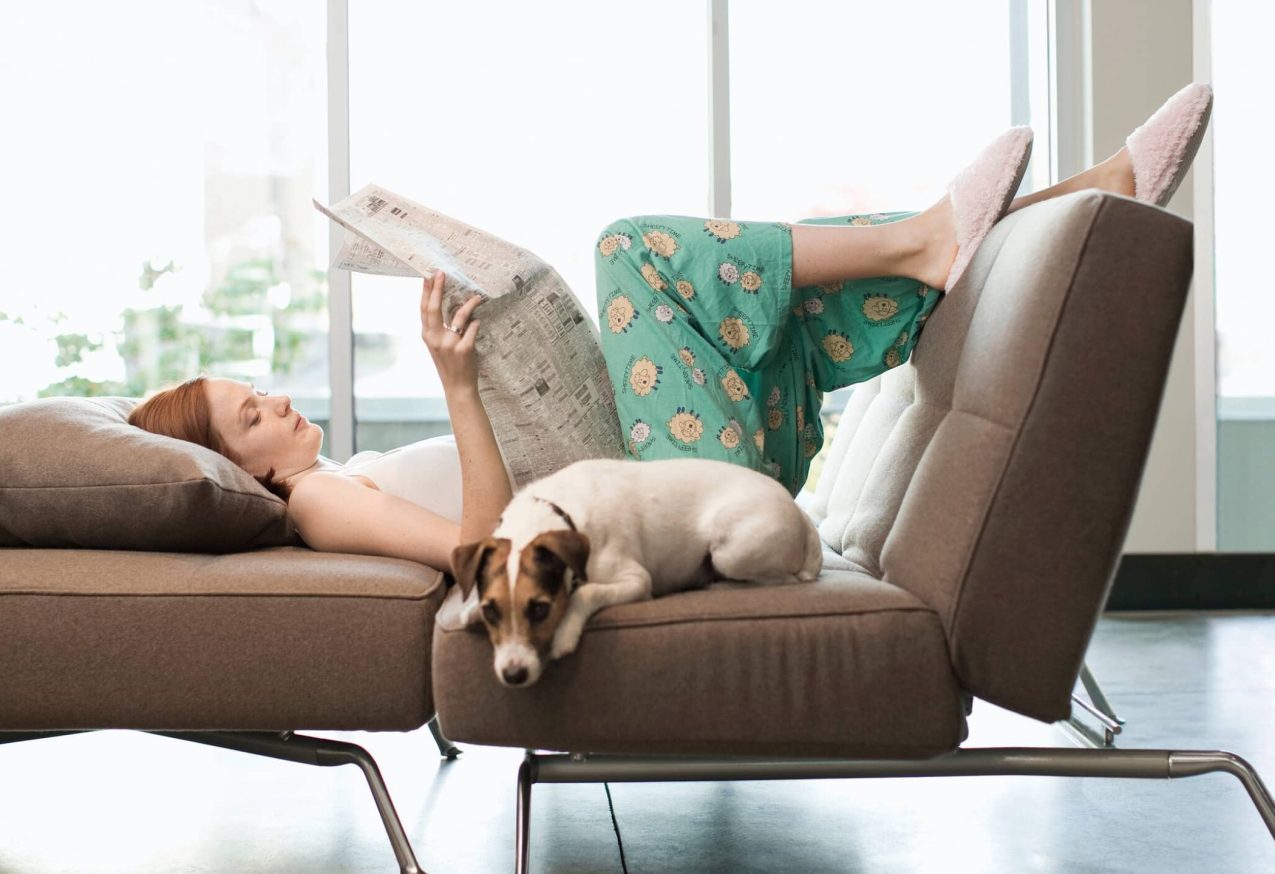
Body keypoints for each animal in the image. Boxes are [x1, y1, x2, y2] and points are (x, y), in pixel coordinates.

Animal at [453, 454, 821, 683]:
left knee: (785, 580)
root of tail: (802, 517)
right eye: (491, 611)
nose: (513, 676)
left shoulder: (636, 580)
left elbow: (586, 591)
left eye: (541, 609)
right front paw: (469, 611)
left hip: (730, 550)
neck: (559, 514)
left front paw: (566, 632)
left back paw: (717, 584)